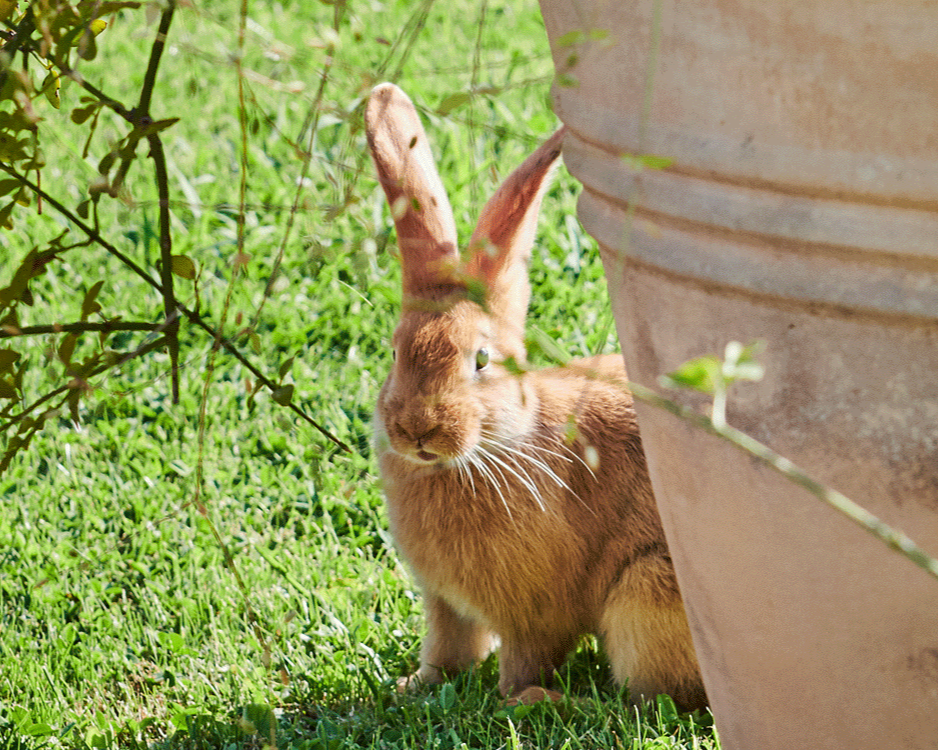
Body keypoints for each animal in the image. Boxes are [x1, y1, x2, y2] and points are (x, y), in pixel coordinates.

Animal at [365, 82, 706, 711]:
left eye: (481, 361)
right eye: (395, 352)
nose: (418, 430)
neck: (491, 447)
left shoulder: (534, 613)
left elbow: (522, 659)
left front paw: (516, 699)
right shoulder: (443, 603)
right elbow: (448, 647)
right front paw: (415, 686)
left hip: (646, 594)